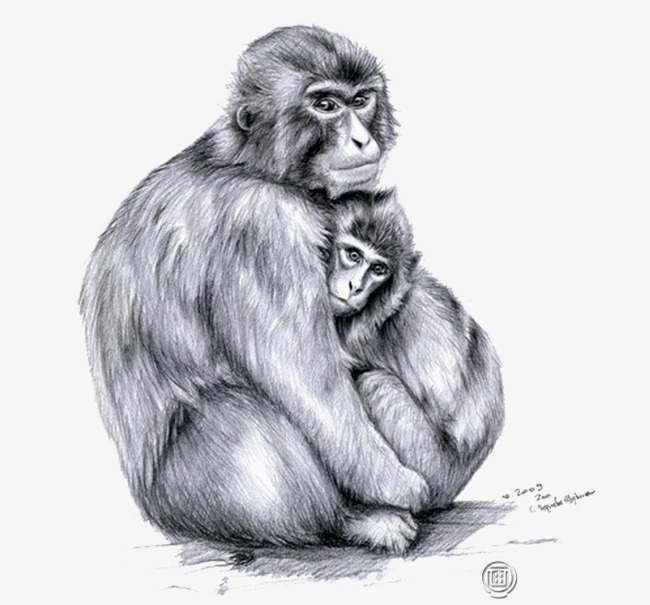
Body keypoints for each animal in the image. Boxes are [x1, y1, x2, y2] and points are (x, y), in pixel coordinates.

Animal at [80, 26, 428, 555]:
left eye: (361, 100)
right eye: (325, 104)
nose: (361, 138)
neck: (249, 164)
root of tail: (149, 503)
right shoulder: (264, 228)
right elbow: (310, 383)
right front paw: (396, 483)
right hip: (187, 490)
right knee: (243, 418)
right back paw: (349, 519)